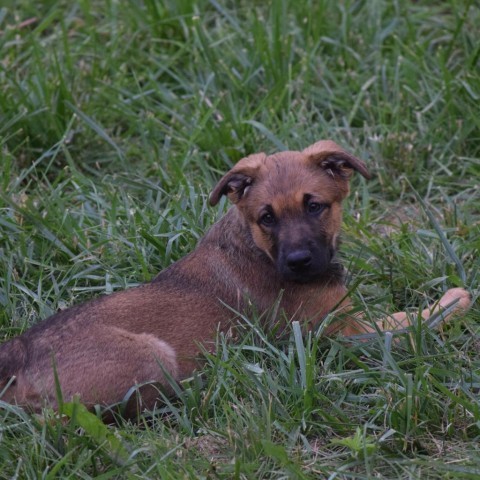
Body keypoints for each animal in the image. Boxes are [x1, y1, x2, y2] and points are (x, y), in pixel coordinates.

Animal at [0, 140, 472, 416]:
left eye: (315, 206)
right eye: (267, 217)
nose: (298, 262)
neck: (256, 248)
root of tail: (19, 353)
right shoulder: (343, 333)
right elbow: (409, 322)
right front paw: (454, 298)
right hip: (151, 356)